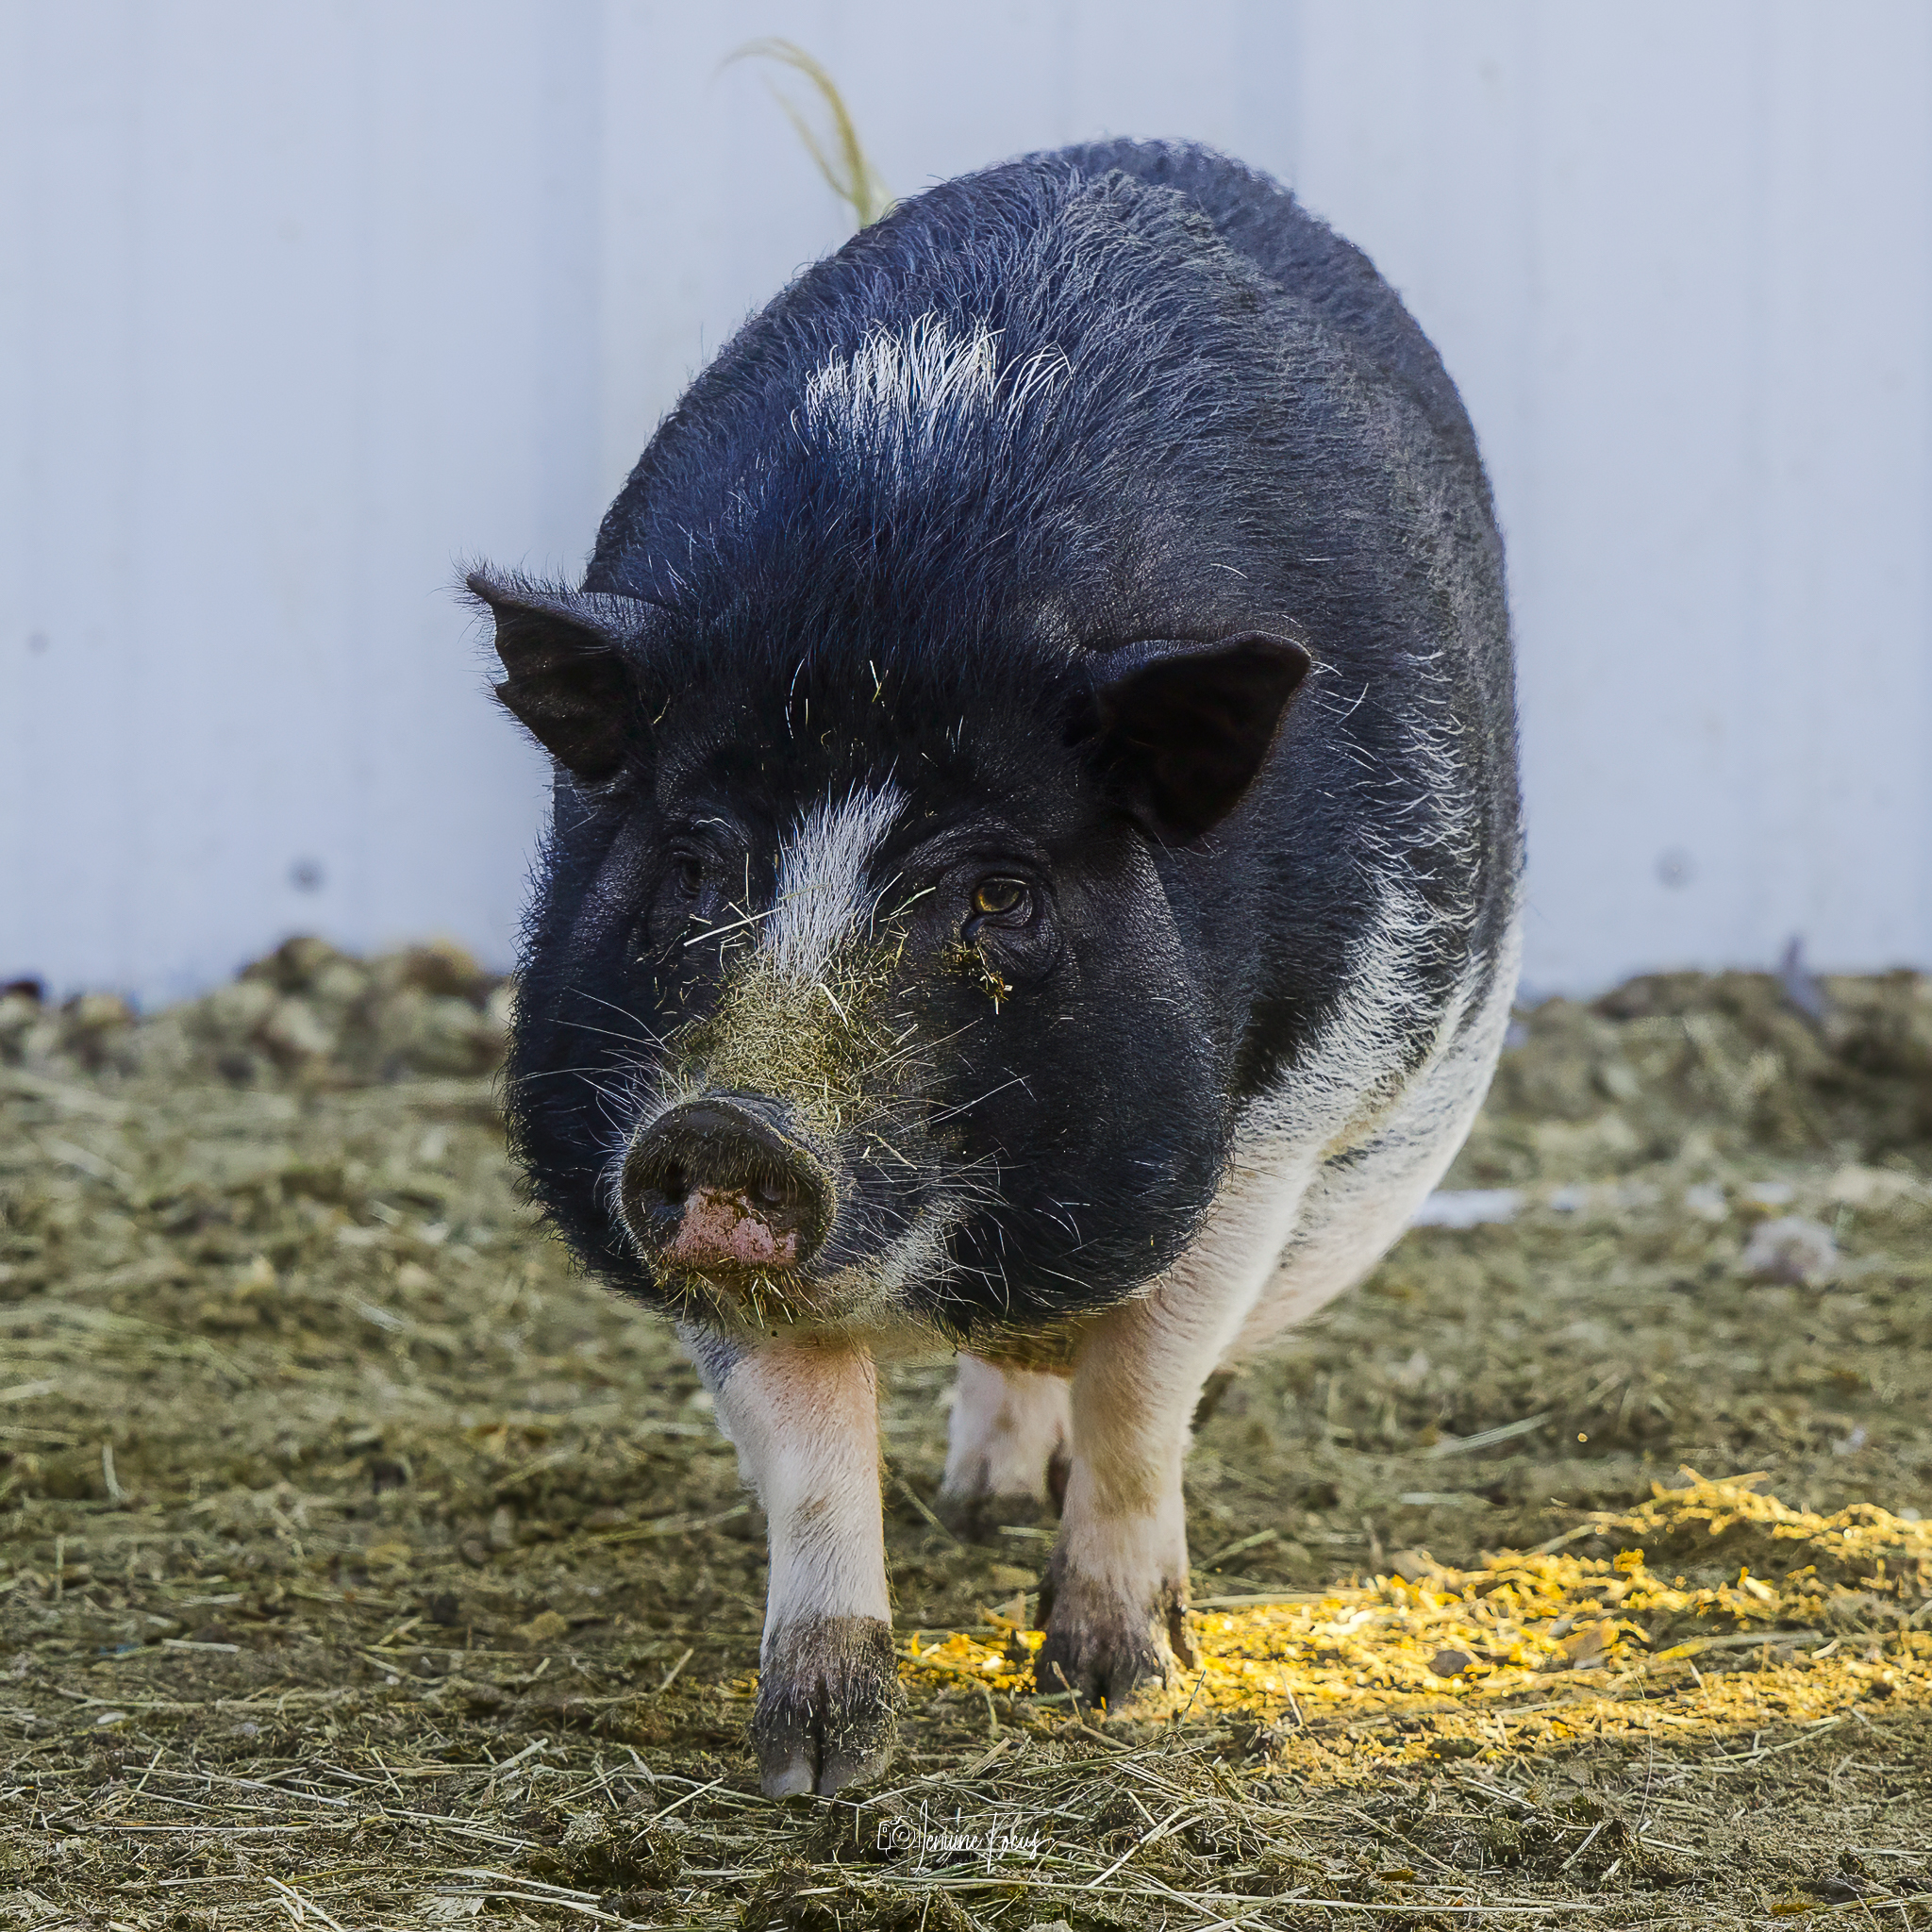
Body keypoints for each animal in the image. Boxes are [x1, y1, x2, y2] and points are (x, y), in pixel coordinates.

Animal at [467, 139, 1521, 1797]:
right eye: (696, 860)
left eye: (1001, 892)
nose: (730, 1129)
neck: (900, 590)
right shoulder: (636, 1155)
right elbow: (808, 1455)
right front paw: (815, 1765)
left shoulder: (1279, 1128)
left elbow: (1147, 1390)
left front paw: (1114, 1683)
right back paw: (979, 1506)